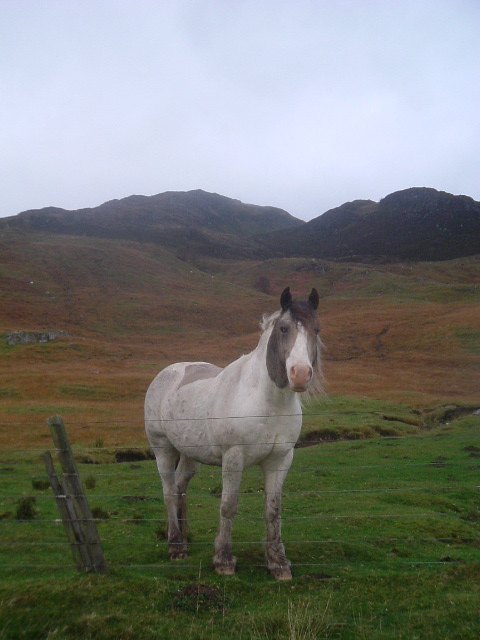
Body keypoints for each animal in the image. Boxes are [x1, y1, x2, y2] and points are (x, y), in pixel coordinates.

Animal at [144, 287, 323, 580]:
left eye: (316, 329)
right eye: (284, 328)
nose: (300, 374)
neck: (267, 402)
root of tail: (166, 373)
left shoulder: (280, 459)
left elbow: (273, 510)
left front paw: (278, 563)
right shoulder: (233, 458)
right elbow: (228, 506)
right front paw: (223, 560)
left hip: (189, 454)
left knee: (181, 487)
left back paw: (185, 538)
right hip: (163, 449)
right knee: (169, 491)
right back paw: (176, 546)